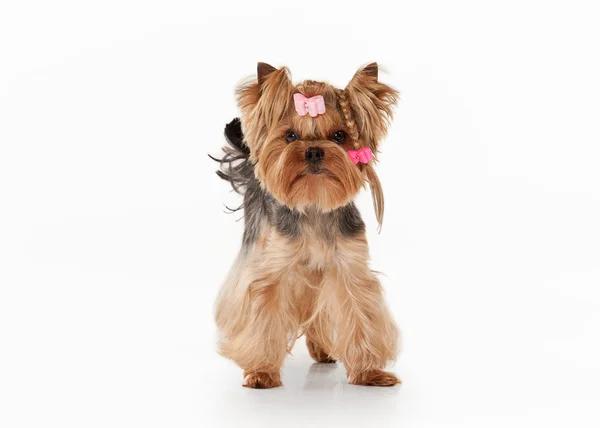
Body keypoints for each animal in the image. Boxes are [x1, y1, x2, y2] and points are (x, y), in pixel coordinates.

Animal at [213, 62, 400, 388]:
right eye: (290, 136)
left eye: (339, 135)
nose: (313, 150)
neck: (314, 202)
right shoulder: (273, 270)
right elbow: (264, 316)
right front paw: (262, 372)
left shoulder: (350, 267)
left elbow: (361, 313)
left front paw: (369, 373)